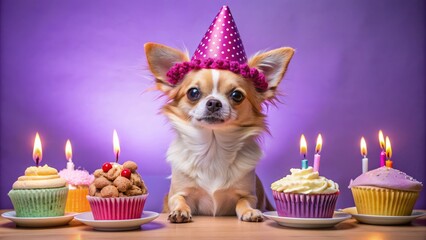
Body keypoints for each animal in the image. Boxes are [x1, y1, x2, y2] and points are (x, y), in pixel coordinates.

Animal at [145, 41, 294, 223]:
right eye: (193, 93)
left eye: (237, 95)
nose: (214, 103)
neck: (213, 147)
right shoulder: (177, 193)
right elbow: (179, 200)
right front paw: (180, 211)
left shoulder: (249, 195)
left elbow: (244, 202)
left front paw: (250, 211)